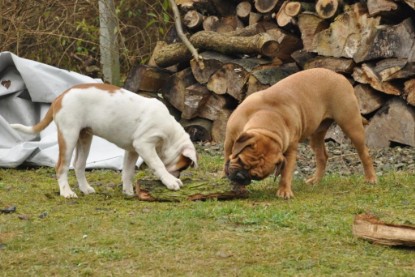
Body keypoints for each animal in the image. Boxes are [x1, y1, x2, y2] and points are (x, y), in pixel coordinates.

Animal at [9, 83, 198, 197]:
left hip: (84, 137)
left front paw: (128, 191)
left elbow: (128, 171)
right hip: (69, 136)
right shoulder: (144, 145)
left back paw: (85, 189)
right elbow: (158, 164)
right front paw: (171, 181)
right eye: (183, 166)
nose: (178, 175)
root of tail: (60, 96)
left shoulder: (132, 150)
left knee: (78, 164)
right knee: (61, 166)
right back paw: (66, 192)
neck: (169, 133)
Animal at [226, 67, 378, 197]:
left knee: (364, 153)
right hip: (317, 134)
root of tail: (339, 76)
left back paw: (371, 178)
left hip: (351, 124)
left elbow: (286, 172)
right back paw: (315, 180)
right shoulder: (230, 139)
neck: (269, 119)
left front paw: (284, 191)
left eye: (256, 177)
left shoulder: (290, 151)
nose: (241, 177)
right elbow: (228, 155)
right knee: (322, 156)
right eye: (240, 160)